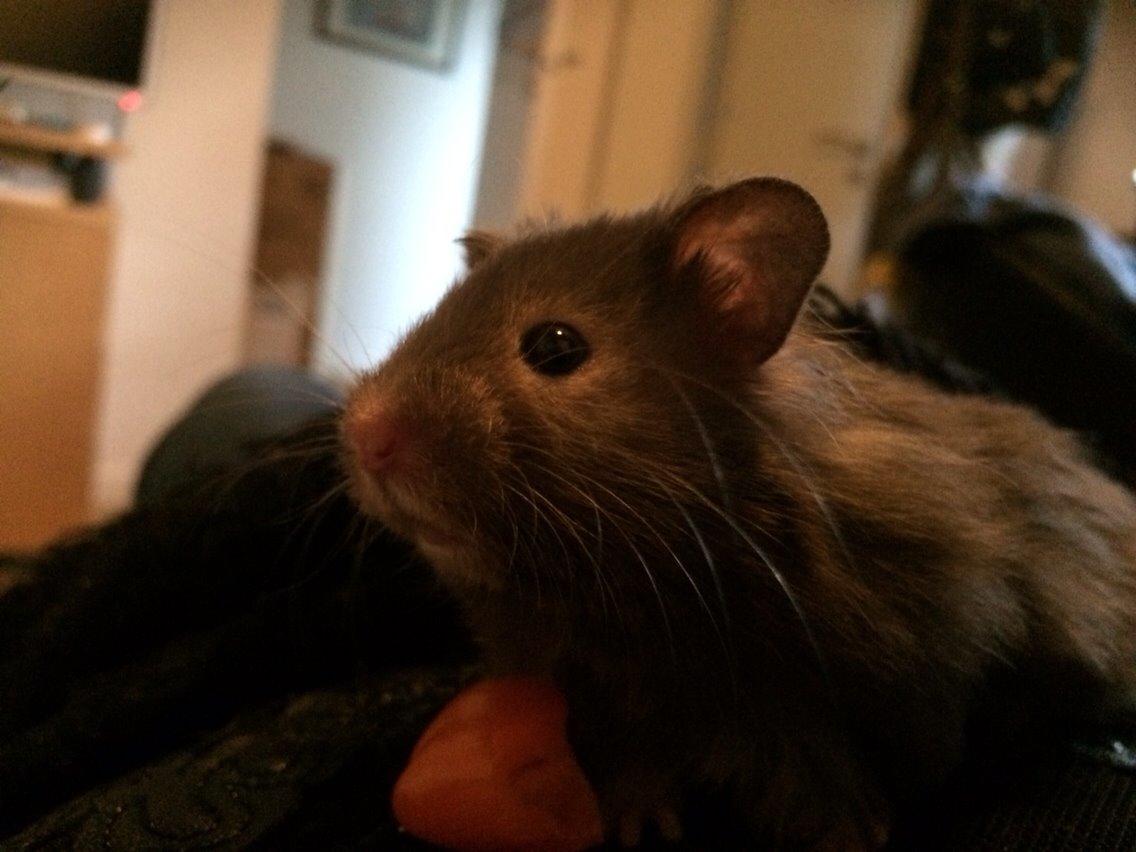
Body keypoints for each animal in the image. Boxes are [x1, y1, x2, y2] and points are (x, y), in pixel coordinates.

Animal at [341, 177, 1136, 849]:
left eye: (556, 347)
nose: (365, 435)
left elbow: (842, 769)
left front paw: (857, 836)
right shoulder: (601, 698)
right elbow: (633, 766)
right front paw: (640, 827)